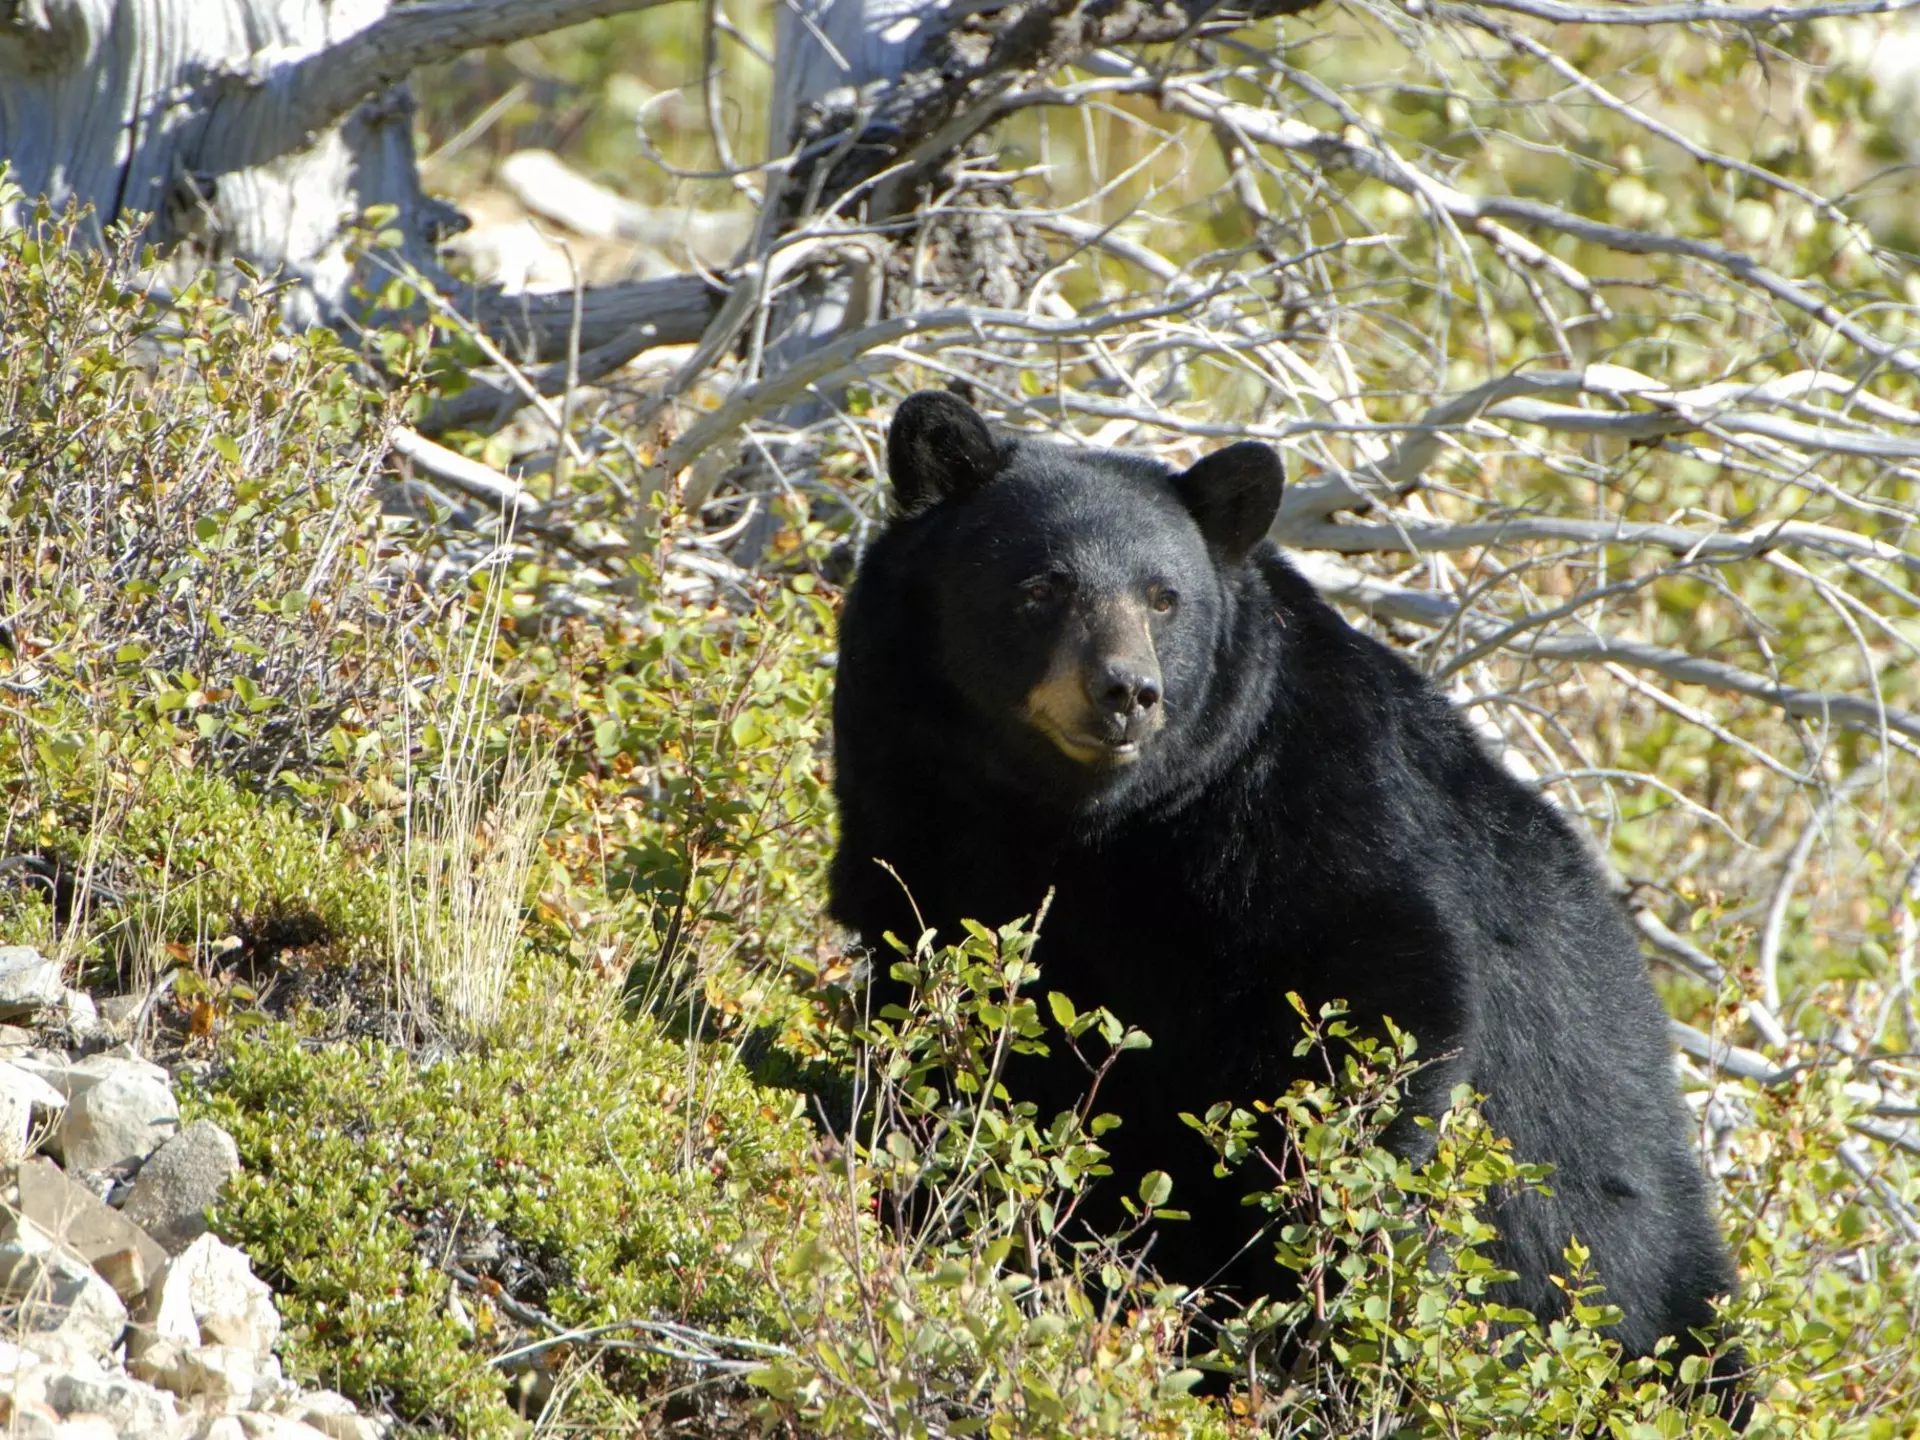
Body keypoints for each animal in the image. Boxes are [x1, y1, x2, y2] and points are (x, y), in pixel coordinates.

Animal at [828, 389, 1745, 1414]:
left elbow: (1371, 1018)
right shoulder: (918, 803)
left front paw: (1294, 1307)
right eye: (1042, 586)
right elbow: (943, 1002)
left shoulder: (1310, 808)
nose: (1127, 692)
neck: (1089, 823)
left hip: (1633, 1257)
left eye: (1164, 597)